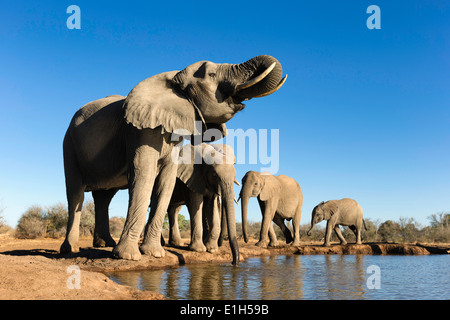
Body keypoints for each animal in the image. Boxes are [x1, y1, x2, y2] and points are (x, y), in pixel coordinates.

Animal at [59, 54, 286, 262]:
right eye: (211, 75)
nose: (235, 262)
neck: (174, 78)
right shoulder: (140, 131)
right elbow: (144, 175)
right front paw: (128, 257)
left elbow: (166, 181)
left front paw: (155, 253)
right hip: (69, 144)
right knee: (76, 194)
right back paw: (70, 249)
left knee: (104, 197)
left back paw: (105, 244)